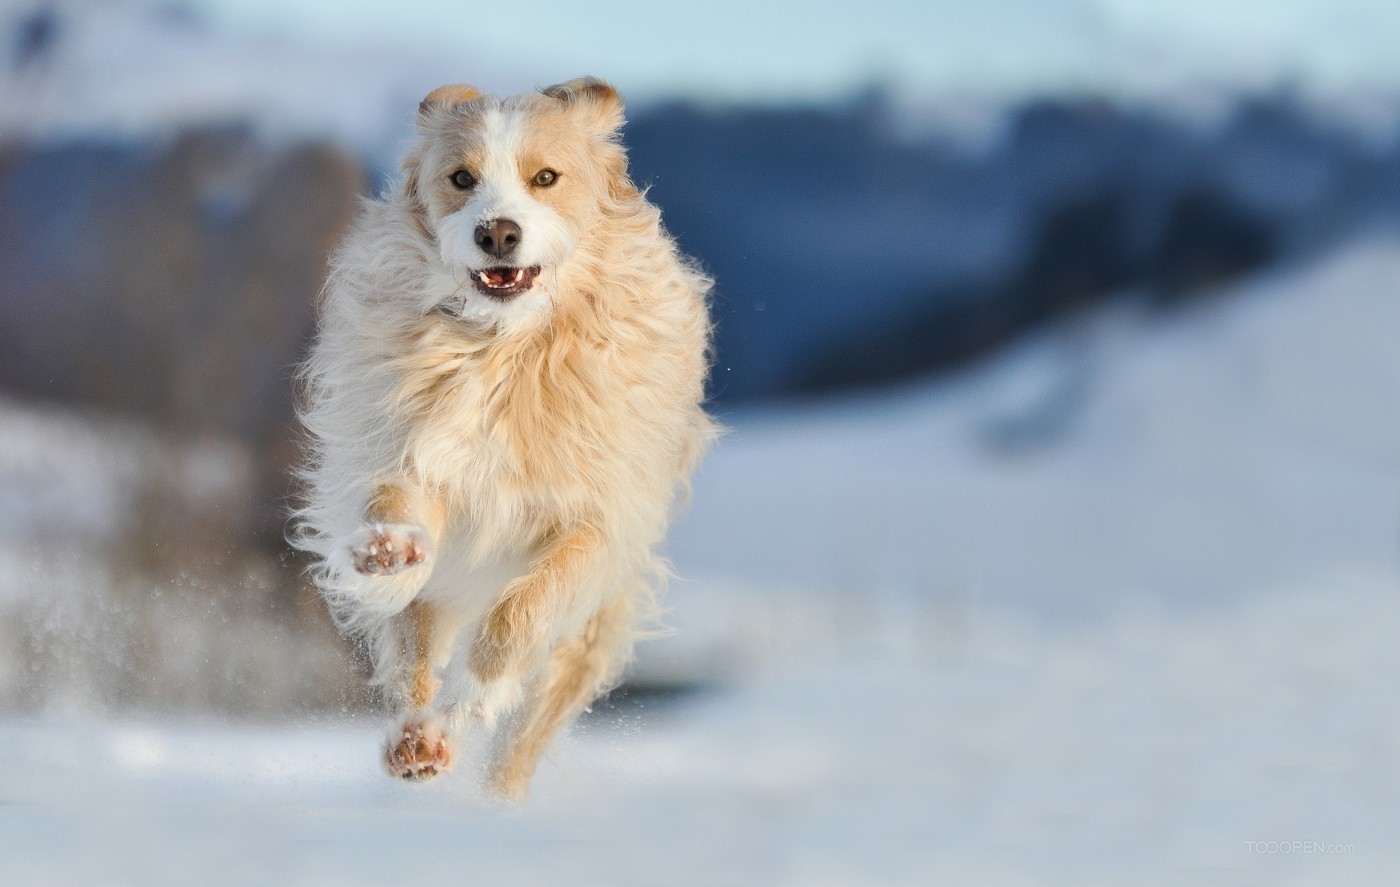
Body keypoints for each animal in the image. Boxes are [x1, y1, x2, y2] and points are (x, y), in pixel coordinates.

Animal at [291, 74, 716, 794]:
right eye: (461, 178)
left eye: (545, 177)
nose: (498, 233)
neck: (504, 348)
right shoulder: (420, 447)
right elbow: (397, 505)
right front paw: (389, 552)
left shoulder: (594, 523)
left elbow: (521, 614)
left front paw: (473, 695)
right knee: (414, 654)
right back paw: (416, 739)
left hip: (588, 634)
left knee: (522, 735)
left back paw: (487, 788)